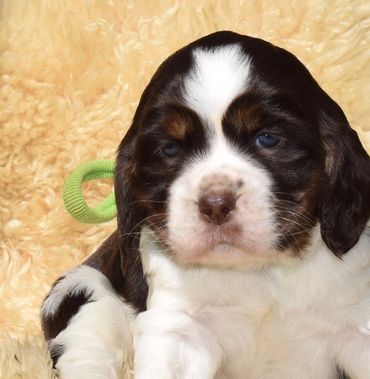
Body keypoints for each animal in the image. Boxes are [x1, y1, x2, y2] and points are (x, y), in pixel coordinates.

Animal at [41, 31, 370, 378]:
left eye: (267, 138)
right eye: (170, 149)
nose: (216, 204)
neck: (259, 271)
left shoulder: (357, 323)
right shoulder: (178, 328)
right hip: (78, 293)